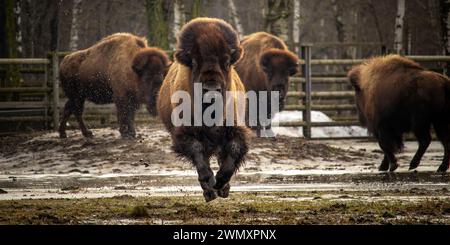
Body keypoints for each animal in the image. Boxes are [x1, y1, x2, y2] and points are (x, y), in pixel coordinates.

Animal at [157, 16, 250, 201]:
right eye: (193, 62)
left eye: (227, 62)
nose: (211, 88)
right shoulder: (184, 133)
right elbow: (198, 153)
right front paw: (210, 184)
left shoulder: (235, 129)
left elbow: (233, 152)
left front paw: (220, 183)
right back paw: (209, 193)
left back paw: (222, 190)